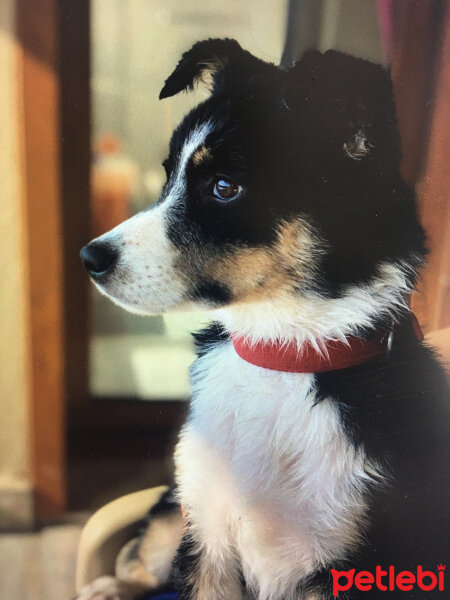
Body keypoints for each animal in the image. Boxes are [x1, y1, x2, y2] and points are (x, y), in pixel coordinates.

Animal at [76, 39, 446, 596]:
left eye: (224, 187)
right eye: (169, 176)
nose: (89, 258)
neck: (281, 355)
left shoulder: (354, 566)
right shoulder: (206, 533)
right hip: (176, 505)